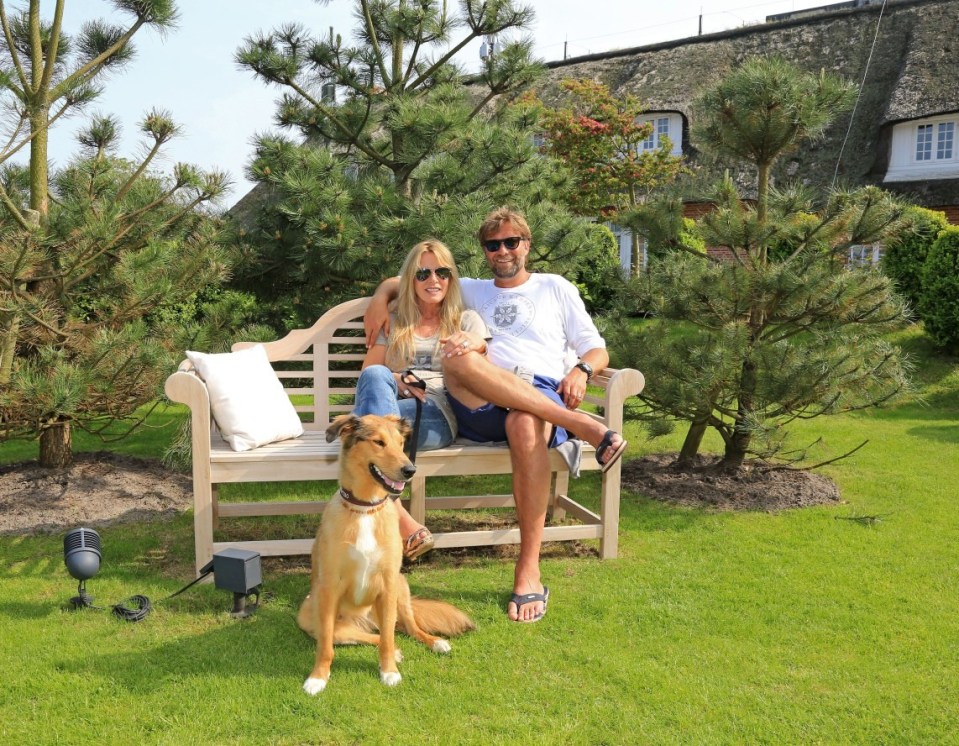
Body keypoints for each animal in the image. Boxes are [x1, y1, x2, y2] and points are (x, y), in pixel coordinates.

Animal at [294, 412, 470, 692]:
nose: (410, 470)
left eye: (401, 443)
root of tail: (364, 618)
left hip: (400, 587)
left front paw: (389, 672)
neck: (365, 508)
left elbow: (388, 637)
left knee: (405, 629)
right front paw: (318, 677)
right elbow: (326, 647)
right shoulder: (329, 587)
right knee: (367, 636)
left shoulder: (387, 585)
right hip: (314, 615)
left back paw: (434, 642)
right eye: (378, 442)